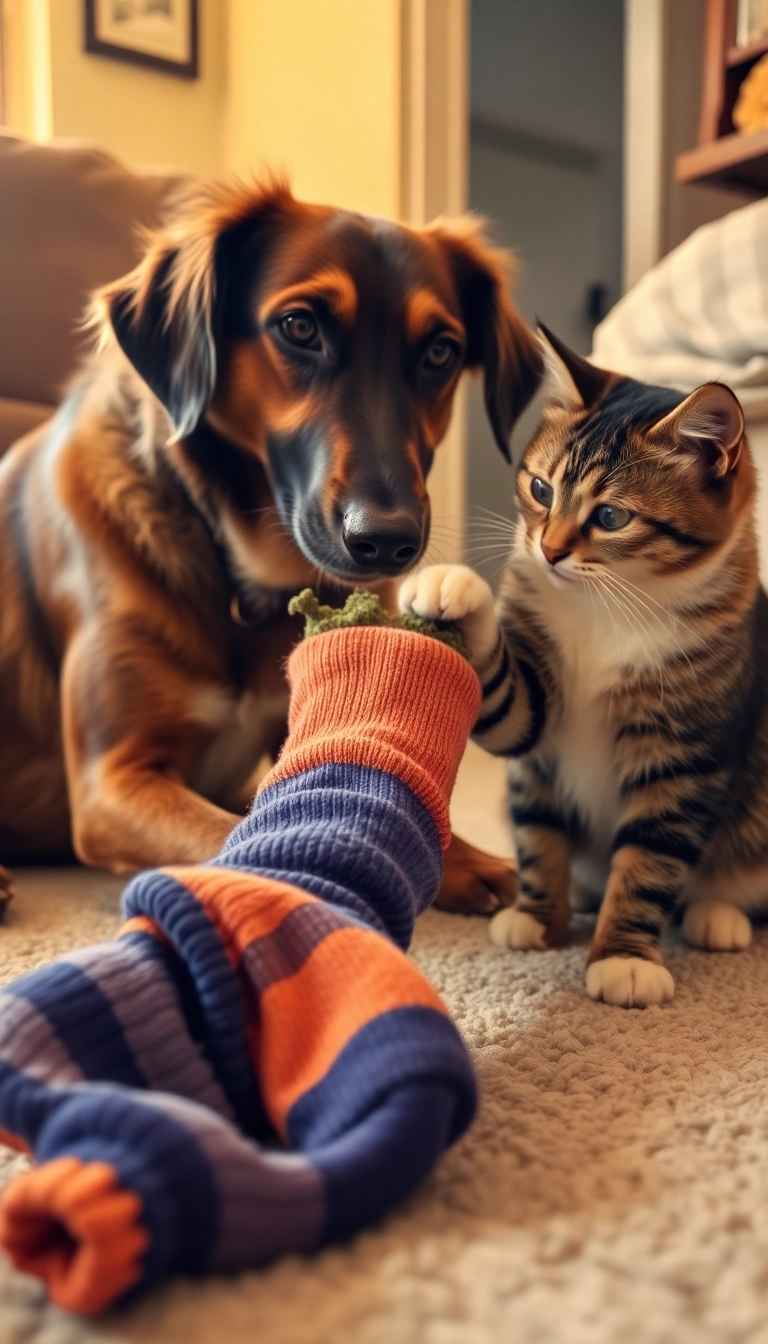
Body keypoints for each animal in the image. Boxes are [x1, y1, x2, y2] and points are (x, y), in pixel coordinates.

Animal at [0, 178, 540, 908]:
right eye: (299, 327)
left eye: (440, 352)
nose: (388, 542)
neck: (238, 572)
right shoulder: (112, 780)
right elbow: (233, 832)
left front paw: (470, 858)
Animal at [403, 327, 768, 1010]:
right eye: (541, 490)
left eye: (612, 516)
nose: (548, 552)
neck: (608, 605)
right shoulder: (537, 722)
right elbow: (539, 826)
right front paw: (539, 920)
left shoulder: (684, 755)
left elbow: (651, 857)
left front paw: (624, 959)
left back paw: (717, 913)